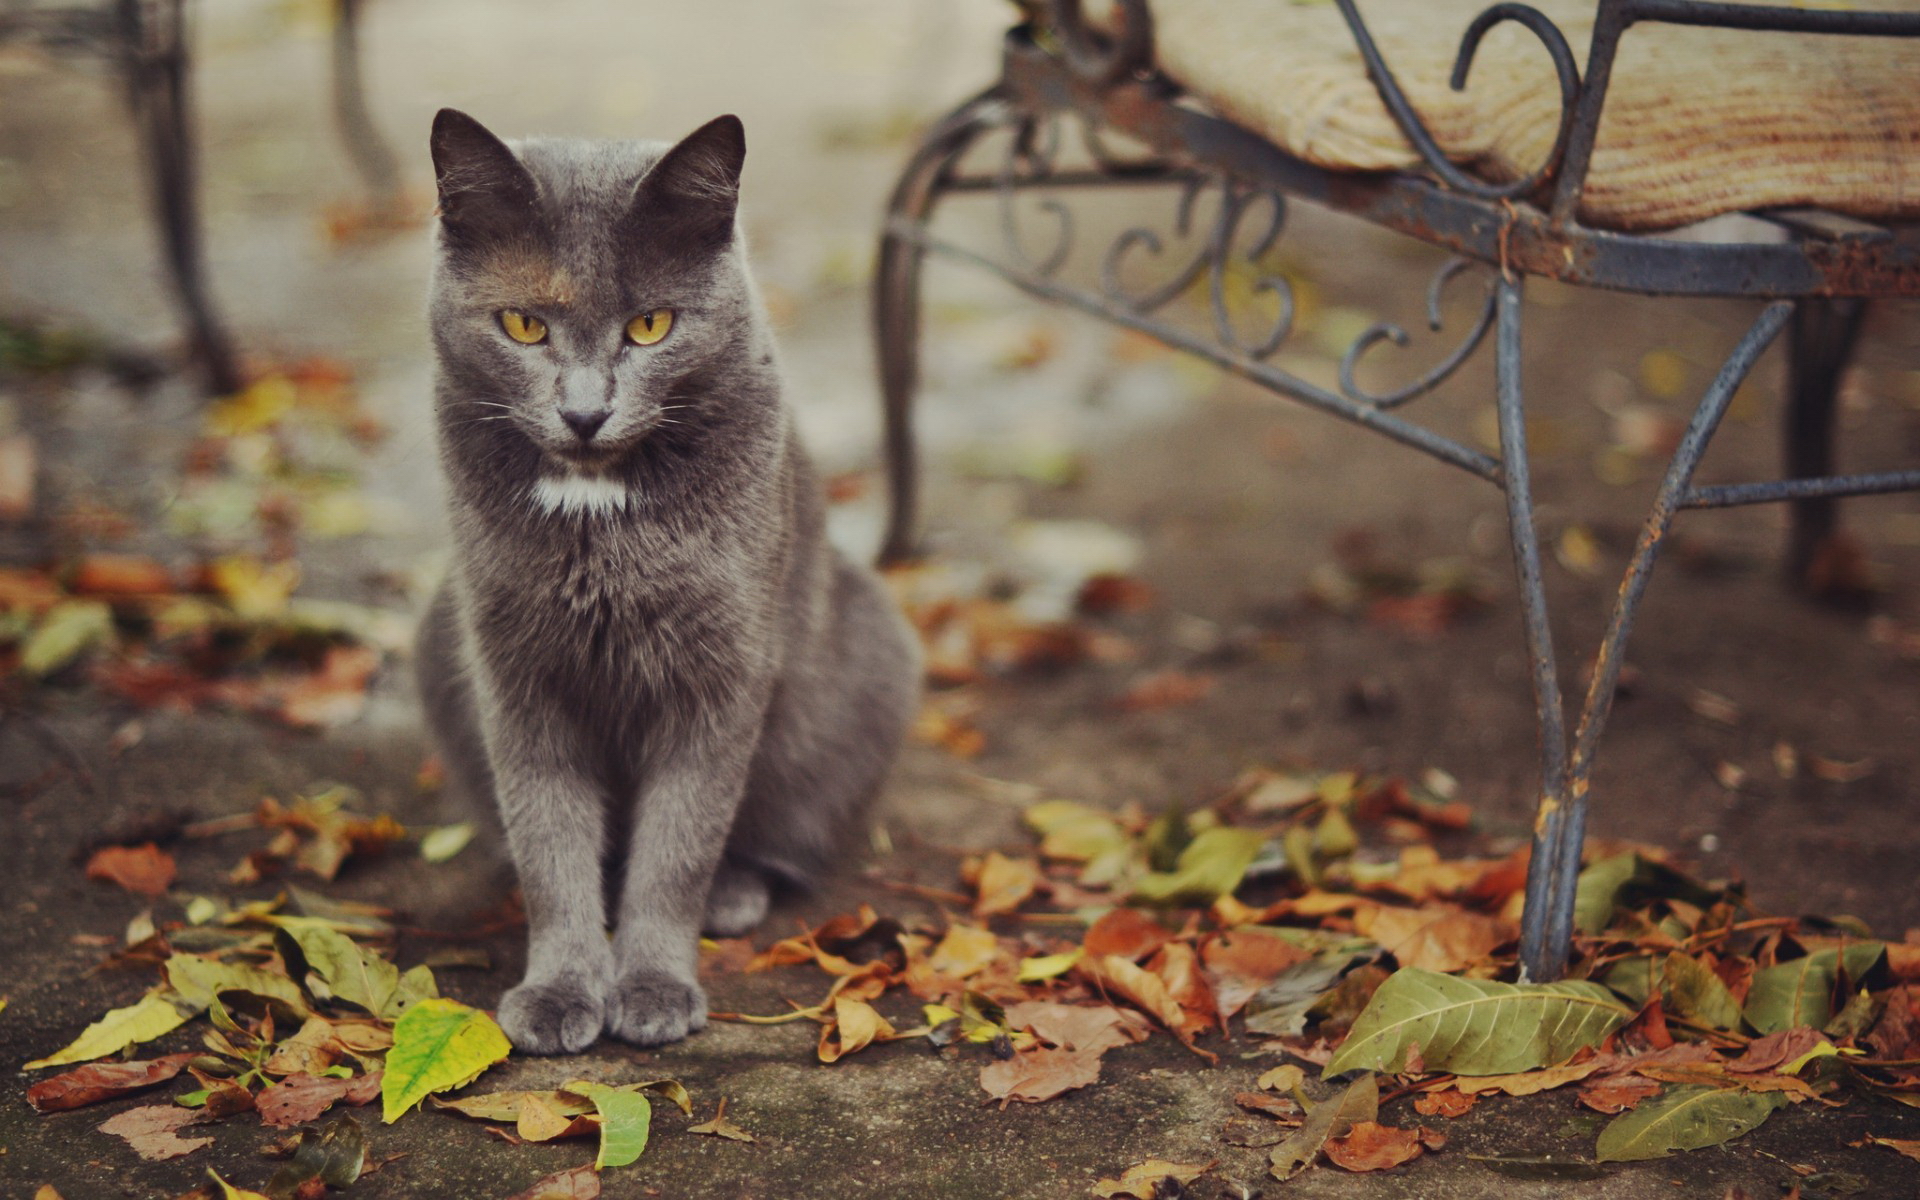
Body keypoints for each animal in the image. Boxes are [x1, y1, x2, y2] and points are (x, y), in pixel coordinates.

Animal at [418, 109, 921, 1044]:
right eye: (523, 325)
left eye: (651, 325)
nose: (583, 413)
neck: (597, 516)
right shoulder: (516, 677)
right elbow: (549, 841)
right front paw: (559, 990)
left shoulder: (719, 675)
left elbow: (678, 844)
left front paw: (651, 986)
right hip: (437, 630)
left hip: (869, 650)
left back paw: (735, 892)